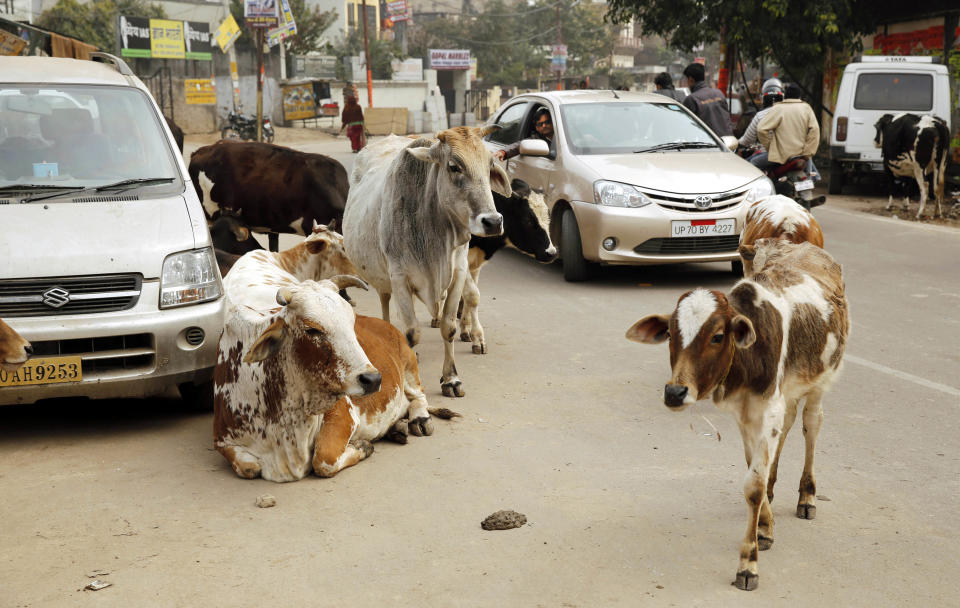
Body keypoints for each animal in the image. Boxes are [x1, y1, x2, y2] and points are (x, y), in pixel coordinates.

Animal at [344, 128, 510, 396]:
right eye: (454, 166)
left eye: (489, 165)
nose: (493, 222)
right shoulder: (399, 278)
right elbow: (412, 332)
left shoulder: (458, 274)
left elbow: (449, 327)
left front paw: (451, 379)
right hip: (382, 277)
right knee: (385, 304)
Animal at [628, 240, 852, 592]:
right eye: (671, 335)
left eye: (718, 336)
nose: (675, 392)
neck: (749, 356)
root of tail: (806, 247)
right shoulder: (746, 413)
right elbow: (753, 473)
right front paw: (764, 526)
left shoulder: (769, 407)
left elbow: (753, 486)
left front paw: (748, 564)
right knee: (788, 426)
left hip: (821, 381)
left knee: (811, 425)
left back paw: (807, 496)